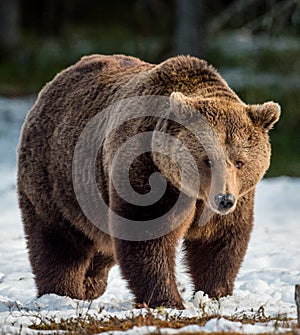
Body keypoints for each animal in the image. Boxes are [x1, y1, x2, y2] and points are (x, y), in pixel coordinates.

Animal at [17, 54, 280, 310]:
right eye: (207, 160)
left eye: (239, 162)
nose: (224, 199)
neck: (191, 190)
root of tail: (53, 83)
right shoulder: (147, 173)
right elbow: (147, 235)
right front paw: (167, 300)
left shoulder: (237, 197)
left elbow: (220, 241)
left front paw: (215, 294)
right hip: (56, 178)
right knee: (58, 241)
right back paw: (63, 293)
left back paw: (90, 283)